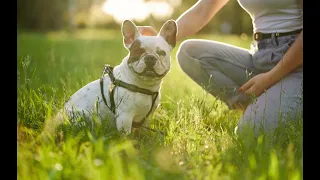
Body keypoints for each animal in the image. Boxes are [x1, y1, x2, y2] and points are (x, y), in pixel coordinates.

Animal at [42, 19, 178, 136]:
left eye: (162, 53)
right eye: (138, 52)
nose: (150, 58)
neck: (144, 86)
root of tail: (56, 118)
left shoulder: (146, 117)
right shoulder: (125, 117)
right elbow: (126, 136)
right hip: (83, 116)